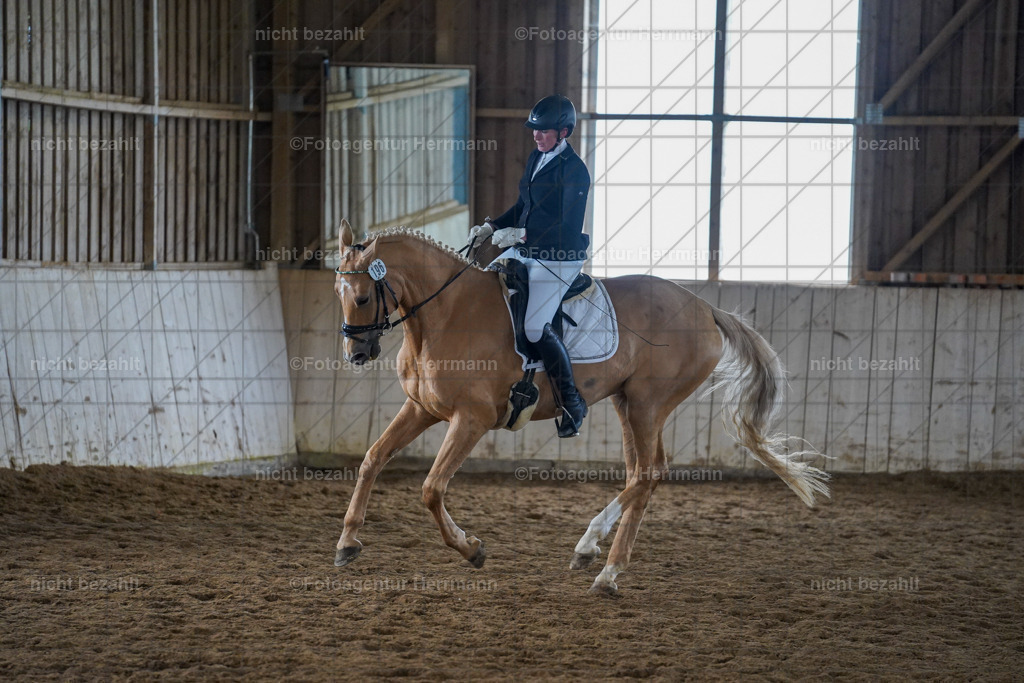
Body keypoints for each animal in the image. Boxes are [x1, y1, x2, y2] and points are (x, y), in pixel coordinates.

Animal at [331, 219, 829, 595]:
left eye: (362, 296)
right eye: (338, 293)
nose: (356, 354)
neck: (447, 314)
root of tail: (703, 307)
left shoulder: (471, 419)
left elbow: (432, 489)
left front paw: (472, 549)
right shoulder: (422, 408)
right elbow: (373, 459)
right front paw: (348, 542)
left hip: (648, 403)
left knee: (647, 473)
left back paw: (592, 550)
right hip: (628, 404)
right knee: (644, 474)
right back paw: (605, 568)